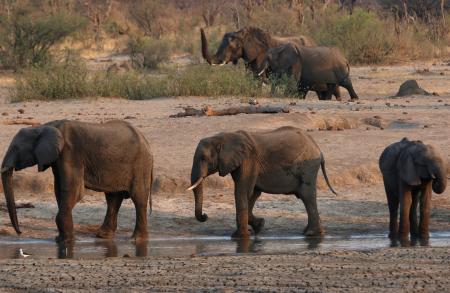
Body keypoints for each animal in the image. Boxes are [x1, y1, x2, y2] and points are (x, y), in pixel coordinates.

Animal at [0, 118, 154, 242]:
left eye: (16, 148)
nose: (20, 233)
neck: (44, 126)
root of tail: (146, 141)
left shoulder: (70, 153)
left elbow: (73, 191)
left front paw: (66, 241)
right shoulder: (58, 158)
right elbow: (59, 189)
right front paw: (61, 239)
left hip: (141, 165)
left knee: (138, 199)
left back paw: (136, 239)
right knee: (113, 198)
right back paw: (103, 236)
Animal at [187, 125, 338, 237]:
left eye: (203, 158)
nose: (205, 216)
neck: (223, 137)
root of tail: (318, 148)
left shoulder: (248, 161)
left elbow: (242, 192)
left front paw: (240, 237)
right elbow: (253, 194)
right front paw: (259, 226)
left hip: (308, 166)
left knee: (307, 195)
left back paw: (311, 234)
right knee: (306, 196)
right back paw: (310, 232)